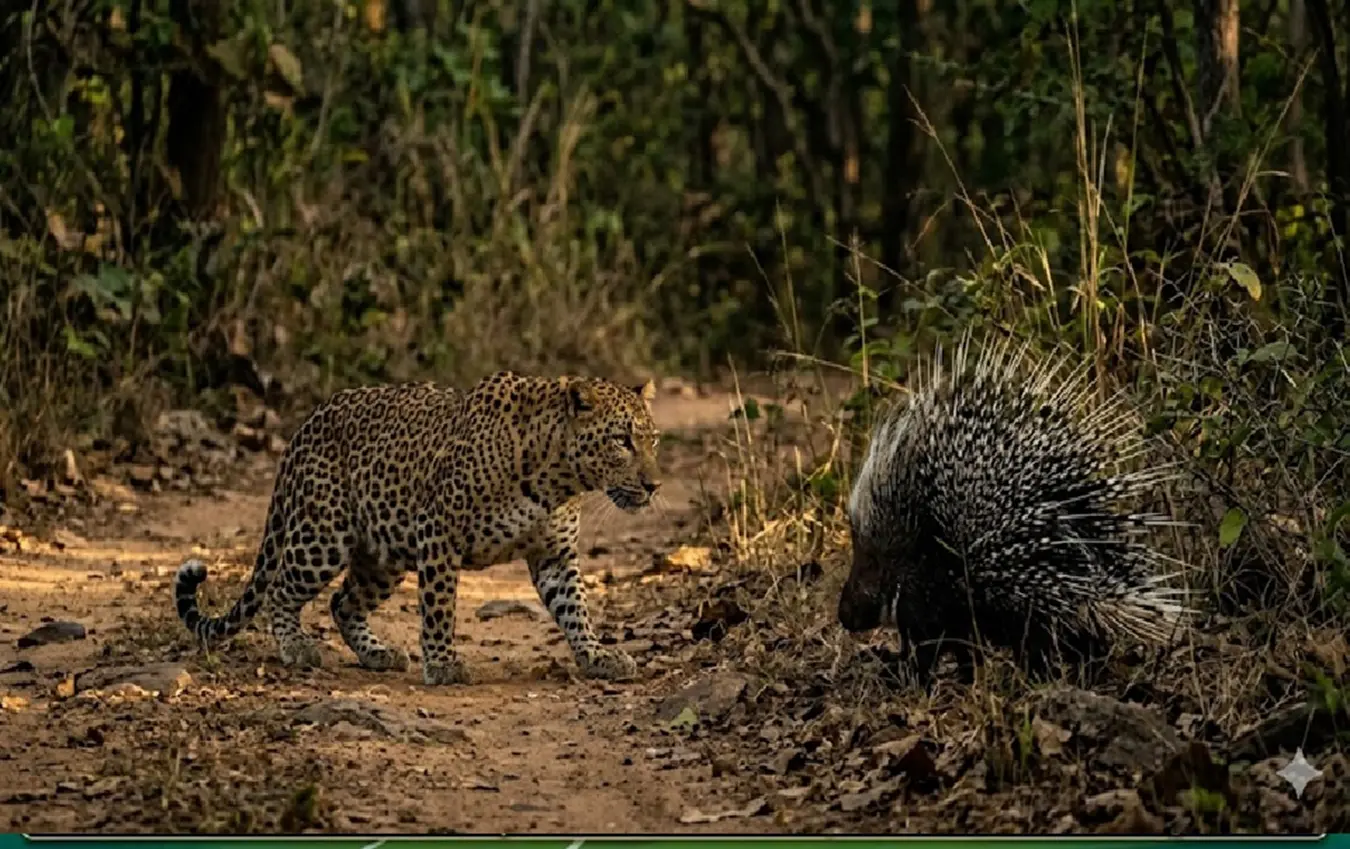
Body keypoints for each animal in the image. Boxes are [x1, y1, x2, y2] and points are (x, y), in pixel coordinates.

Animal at [172, 370, 662, 686]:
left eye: (653, 439)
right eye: (622, 441)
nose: (654, 485)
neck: (557, 477)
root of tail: (307, 423)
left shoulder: (554, 554)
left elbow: (575, 608)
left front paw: (597, 656)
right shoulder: (439, 533)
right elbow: (440, 605)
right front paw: (443, 665)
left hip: (382, 555)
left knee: (342, 603)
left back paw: (378, 653)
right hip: (323, 536)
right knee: (281, 589)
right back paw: (296, 647)